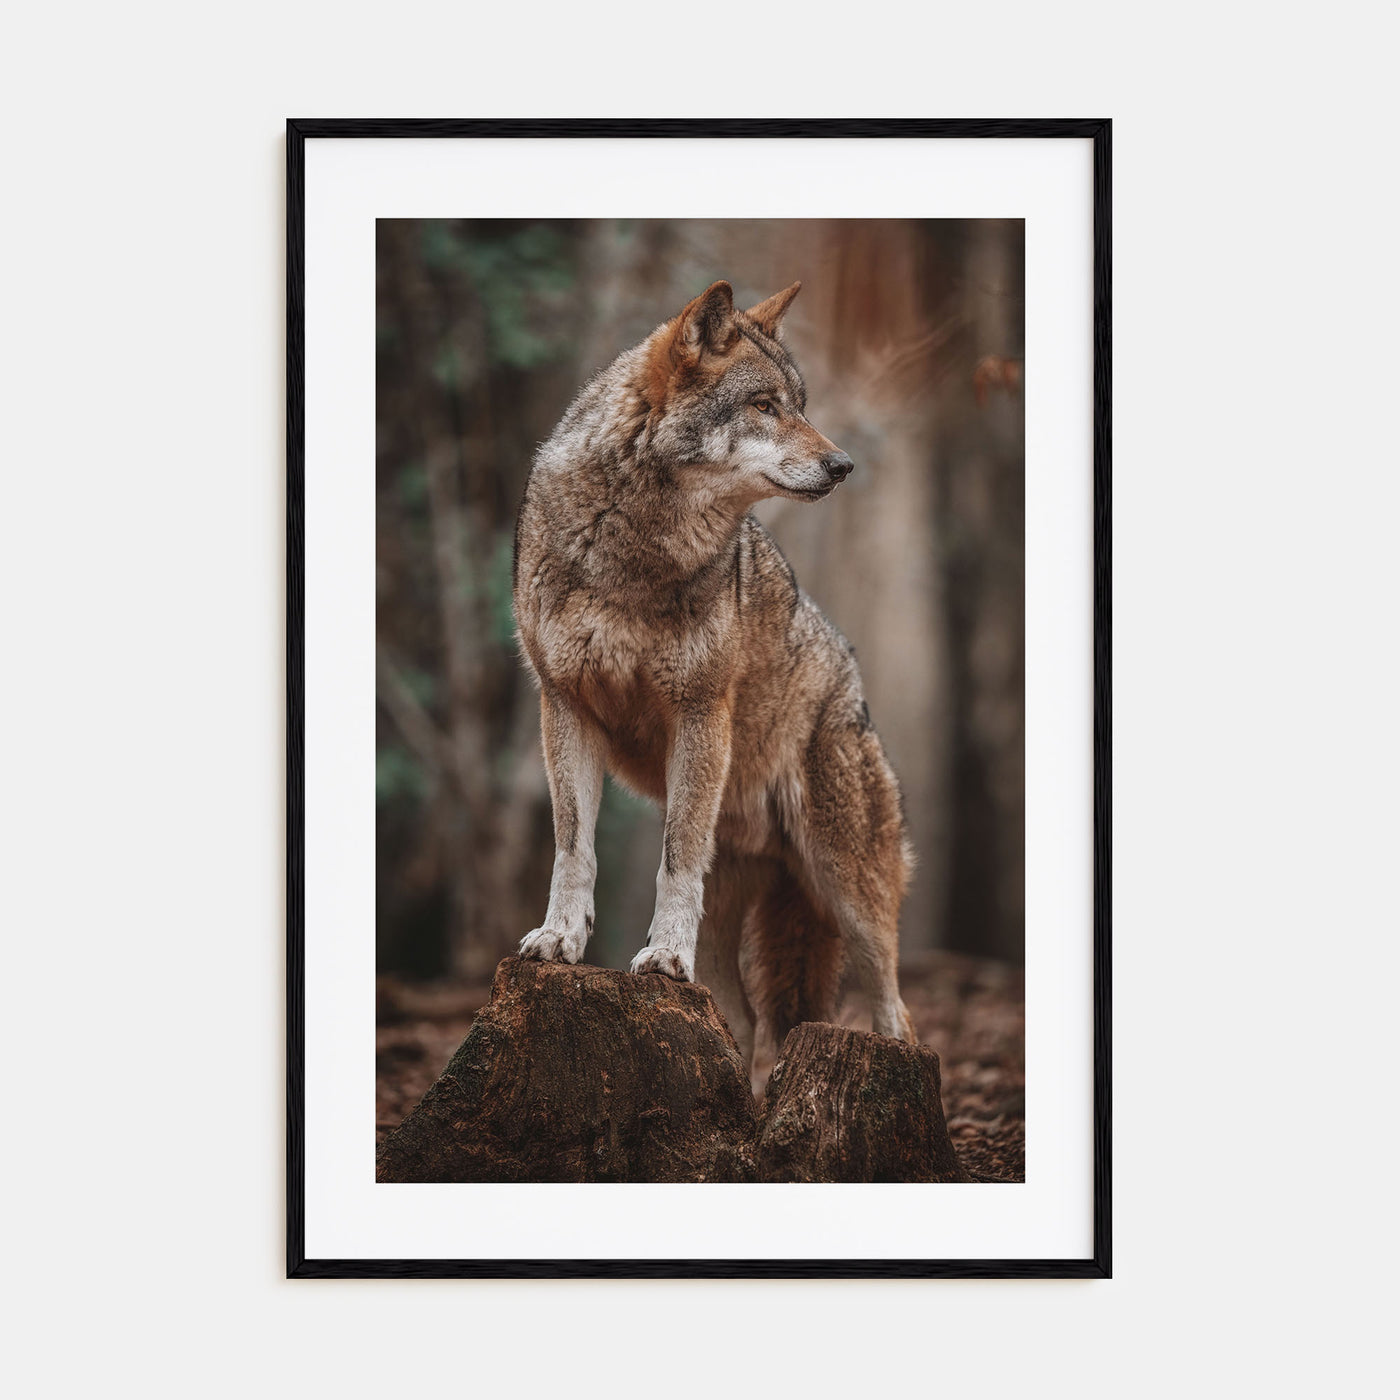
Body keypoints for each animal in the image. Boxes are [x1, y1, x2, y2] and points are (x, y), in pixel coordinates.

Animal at [513, 279, 915, 1088]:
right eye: (764, 405)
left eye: (800, 402)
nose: (844, 465)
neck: (633, 547)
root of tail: (853, 684)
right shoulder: (563, 705)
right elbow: (573, 846)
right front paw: (560, 940)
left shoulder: (699, 711)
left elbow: (674, 857)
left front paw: (664, 956)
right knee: (749, 1022)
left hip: (848, 889)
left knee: (896, 1010)